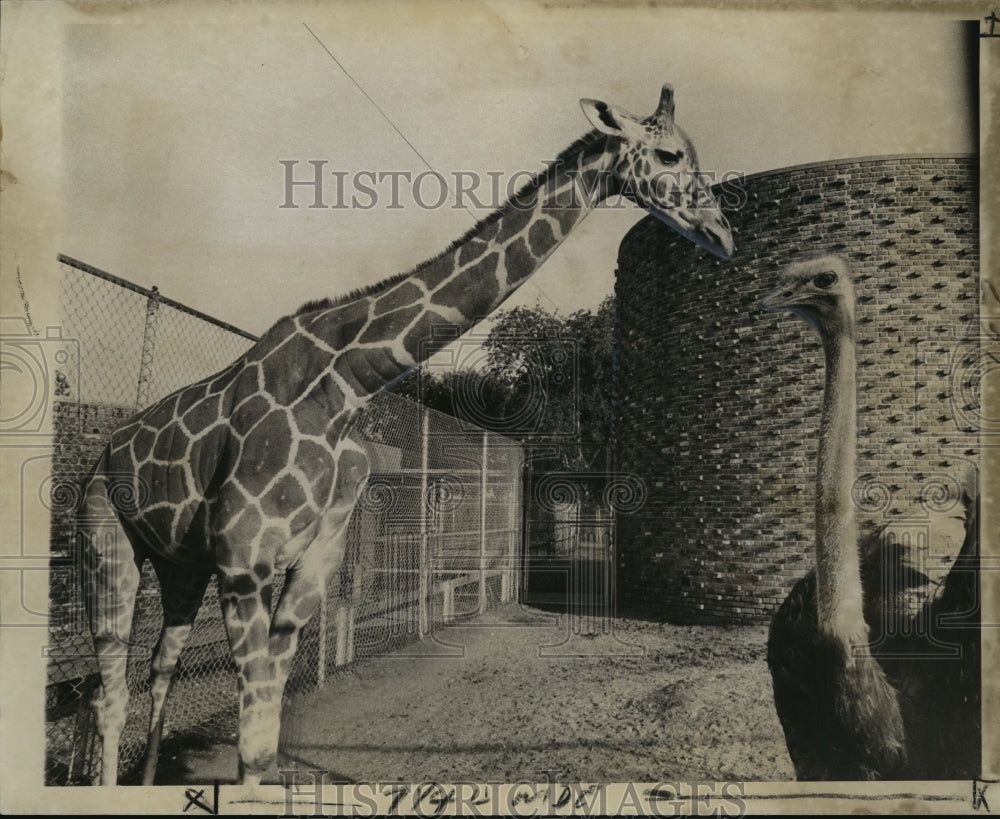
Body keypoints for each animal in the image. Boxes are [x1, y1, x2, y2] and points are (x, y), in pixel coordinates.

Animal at [78, 85, 736, 788]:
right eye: (671, 154)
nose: (723, 234)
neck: (345, 388)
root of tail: (104, 452)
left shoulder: (307, 562)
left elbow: (265, 735)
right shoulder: (244, 562)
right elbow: (251, 741)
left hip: (180, 564)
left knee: (160, 669)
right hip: (106, 539)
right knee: (110, 689)